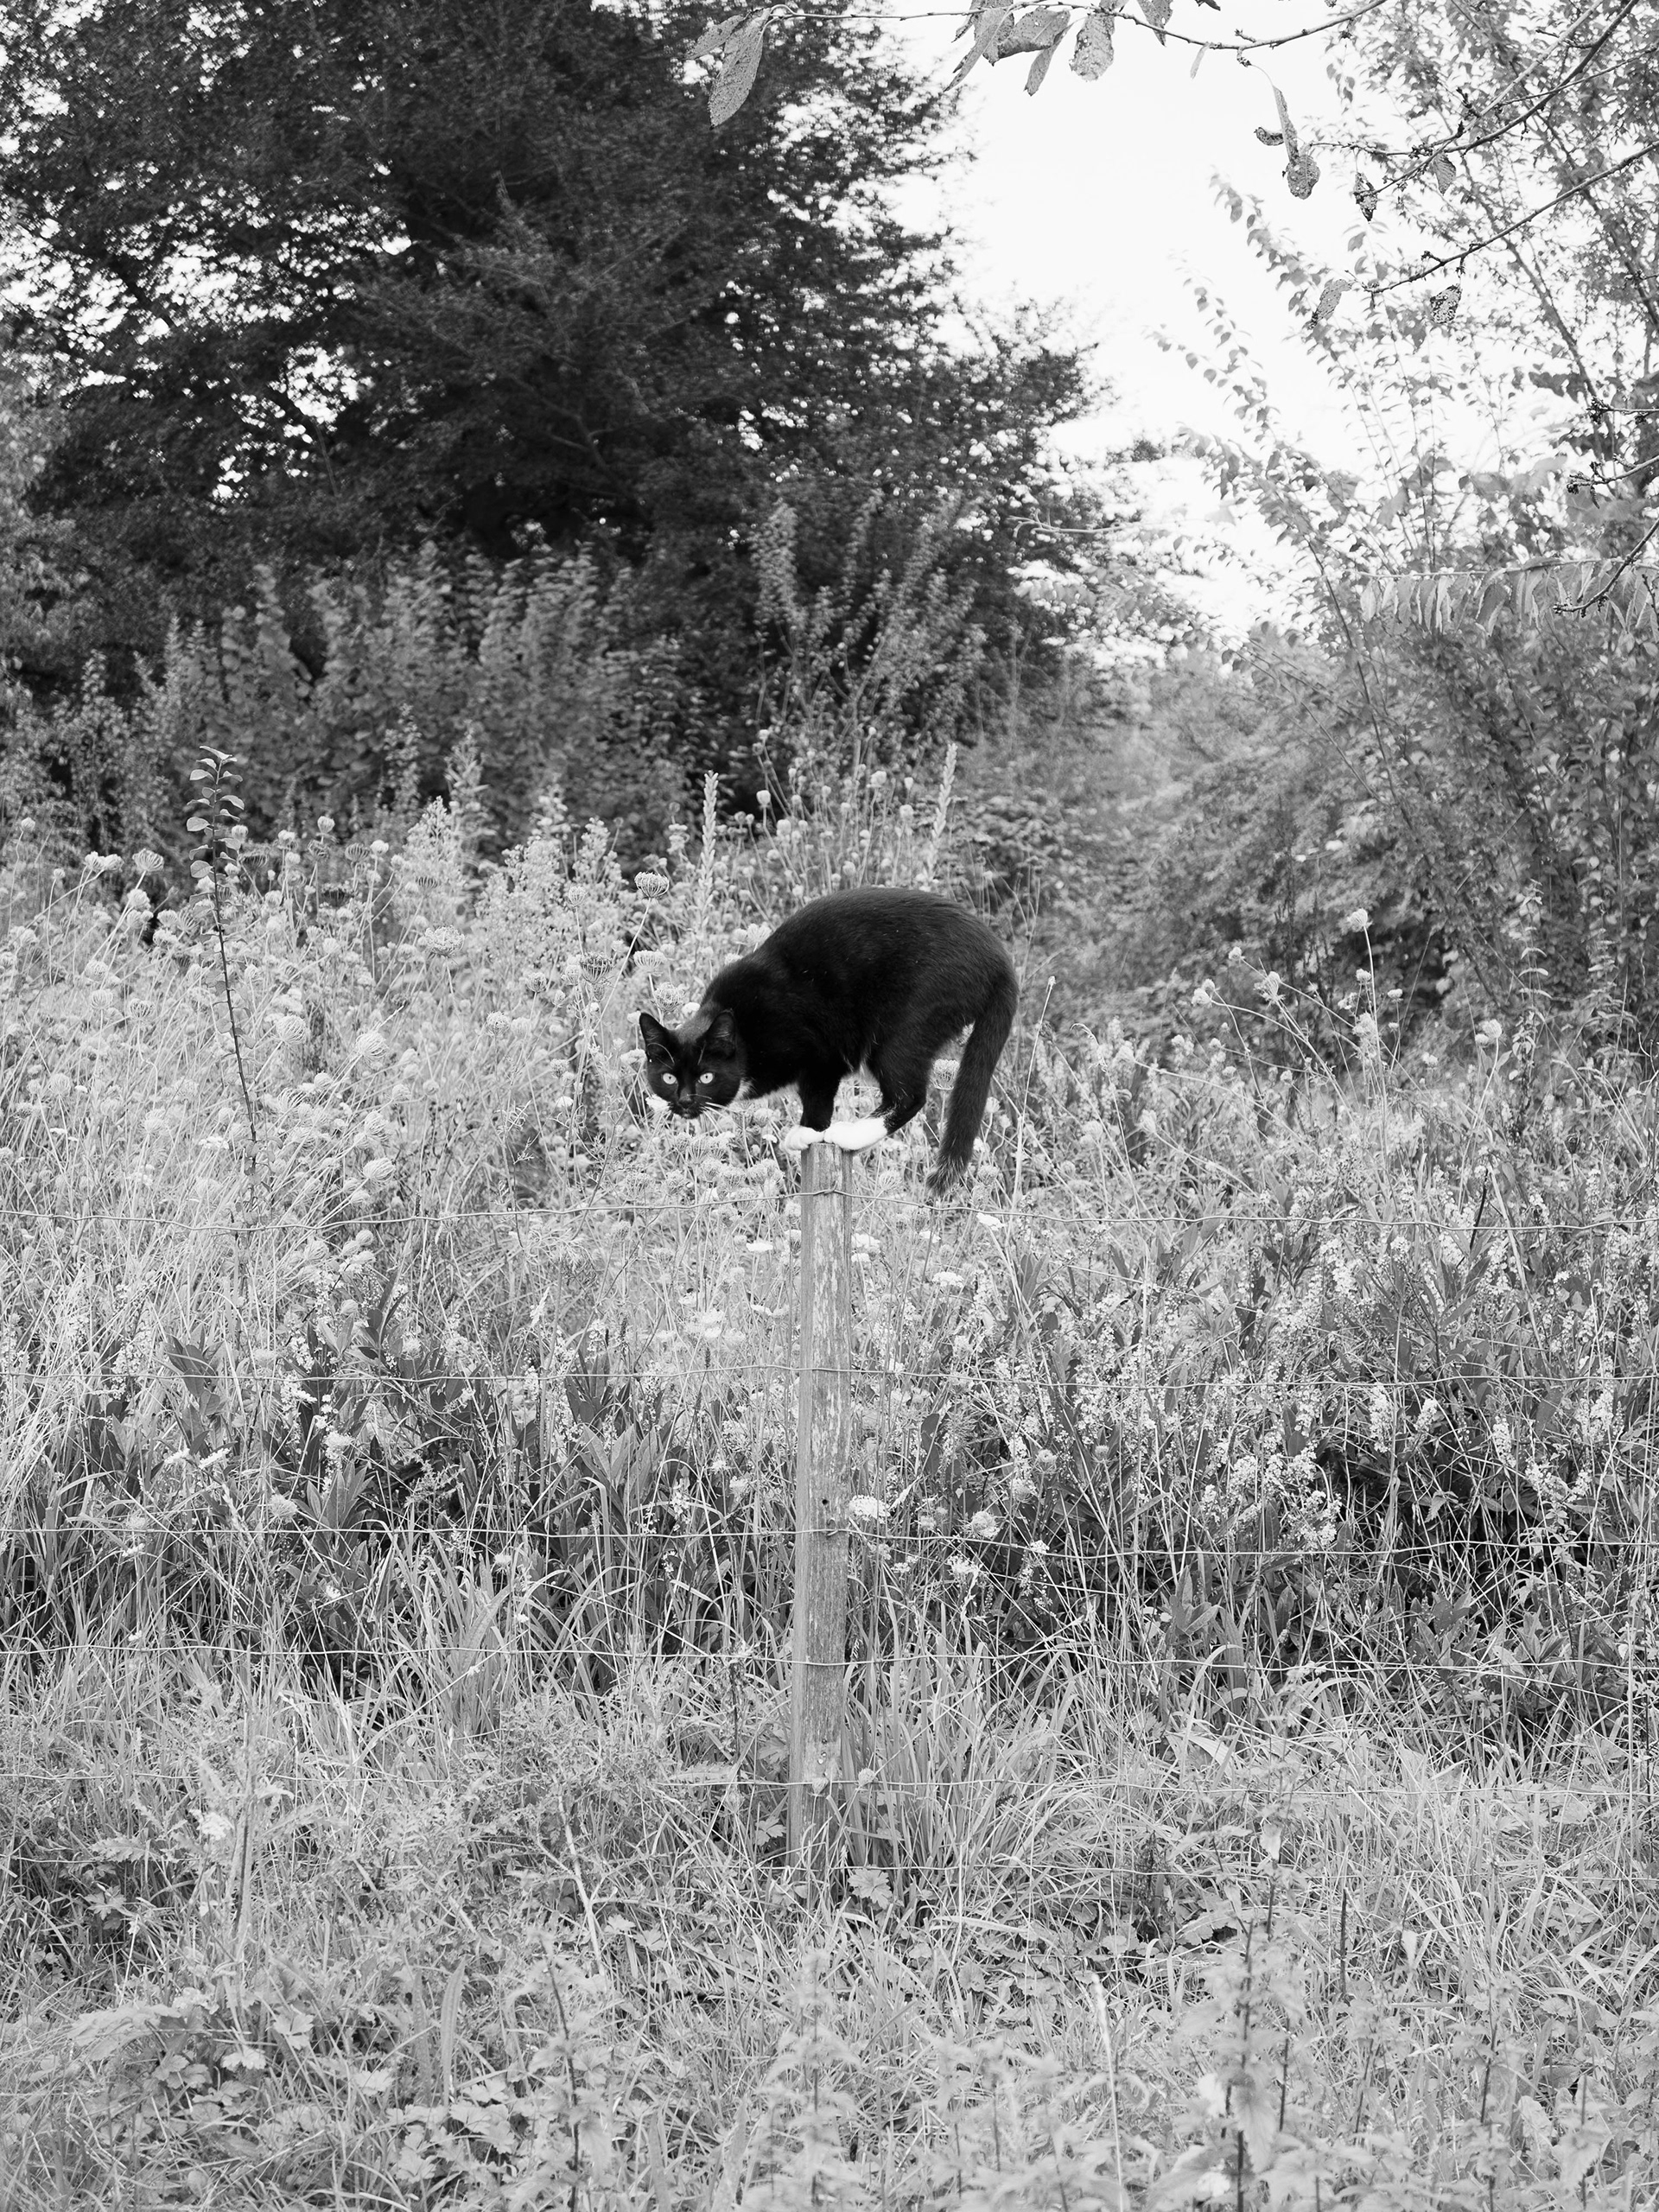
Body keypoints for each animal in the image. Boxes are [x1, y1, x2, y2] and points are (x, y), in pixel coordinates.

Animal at [638, 886, 1018, 1191]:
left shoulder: (822, 1053)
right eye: (669, 1078)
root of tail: (1000, 960)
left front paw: (809, 1131)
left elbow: (817, 1095)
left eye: (706, 1076)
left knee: (910, 1095)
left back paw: (849, 1135)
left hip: (909, 1020)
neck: (745, 1031)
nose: (685, 1101)